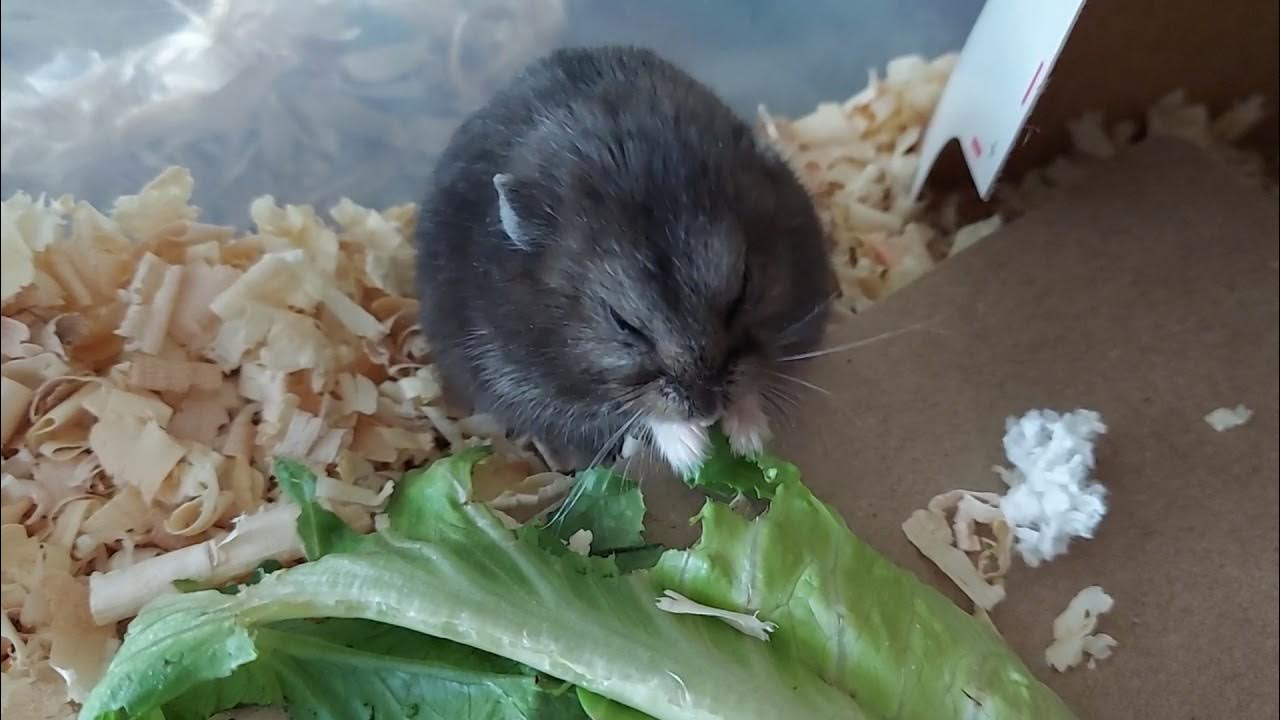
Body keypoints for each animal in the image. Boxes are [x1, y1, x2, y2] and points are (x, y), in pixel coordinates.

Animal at [415, 46, 837, 475]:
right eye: (625, 324)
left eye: (743, 291)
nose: (707, 413)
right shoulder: (532, 390)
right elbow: (636, 413)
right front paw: (694, 455)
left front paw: (749, 441)